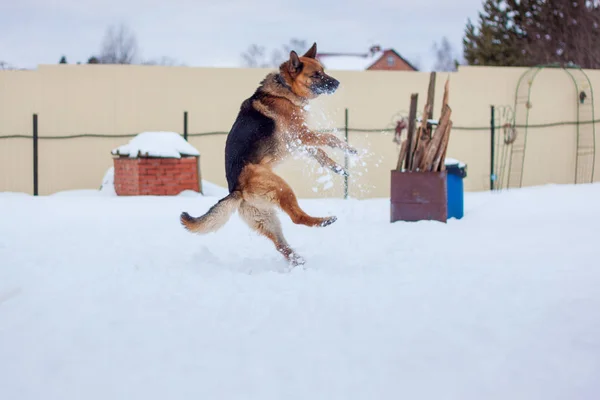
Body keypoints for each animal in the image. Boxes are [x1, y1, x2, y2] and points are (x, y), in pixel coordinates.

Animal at [180, 43, 354, 266]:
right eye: (316, 74)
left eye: (323, 71)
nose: (337, 83)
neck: (286, 89)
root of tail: (237, 189)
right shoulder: (303, 135)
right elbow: (329, 138)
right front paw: (349, 148)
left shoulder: (301, 143)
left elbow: (321, 154)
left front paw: (338, 167)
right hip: (281, 187)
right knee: (297, 218)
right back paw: (324, 221)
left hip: (267, 220)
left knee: (282, 246)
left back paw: (300, 261)